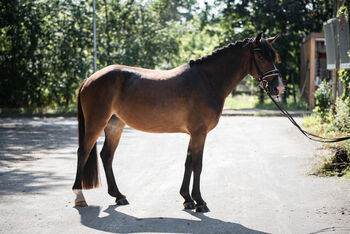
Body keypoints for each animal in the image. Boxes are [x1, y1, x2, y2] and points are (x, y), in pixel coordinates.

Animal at [72, 33, 284, 212]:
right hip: (96, 123)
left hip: (114, 125)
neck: (207, 80)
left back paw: (118, 196)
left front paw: (187, 199)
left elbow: (188, 162)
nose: (278, 88)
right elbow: (197, 164)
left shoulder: (194, 134)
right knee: (83, 152)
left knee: (107, 156)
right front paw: (200, 202)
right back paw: (80, 196)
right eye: (261, 57)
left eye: (274, 57)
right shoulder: (200, 133)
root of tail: (89, 79)